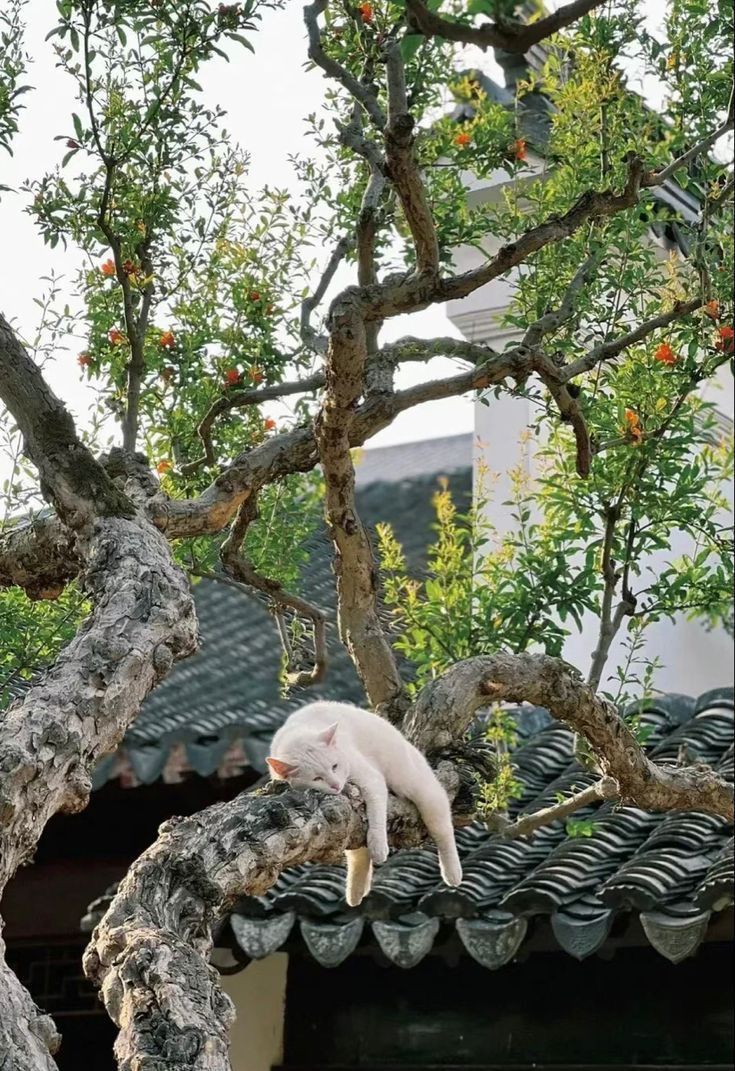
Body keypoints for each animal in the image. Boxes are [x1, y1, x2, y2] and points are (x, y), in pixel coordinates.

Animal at [266, 702, 460, 903]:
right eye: (317, 778)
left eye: (334, 766)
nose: (336, 785)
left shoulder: (371, 780)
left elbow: (377, 816)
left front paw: (379, 846)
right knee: (358, 856)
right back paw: (356, 893)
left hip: (416, 785)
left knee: (442, 827)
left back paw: (453, 874)